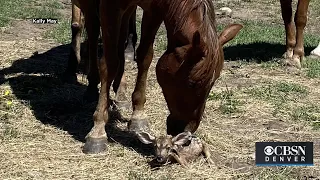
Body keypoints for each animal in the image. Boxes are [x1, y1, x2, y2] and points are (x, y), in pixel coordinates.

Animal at [82, 0, 242, 153]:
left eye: (213, 83)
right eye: (192, 83)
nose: (186, 131)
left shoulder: (154, 10)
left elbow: (145, 56)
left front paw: (138, 115)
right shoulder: (111, 6)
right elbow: (110, 64)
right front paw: (97, 131)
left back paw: (120, 93)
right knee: (93, 31)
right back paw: (92, 86)